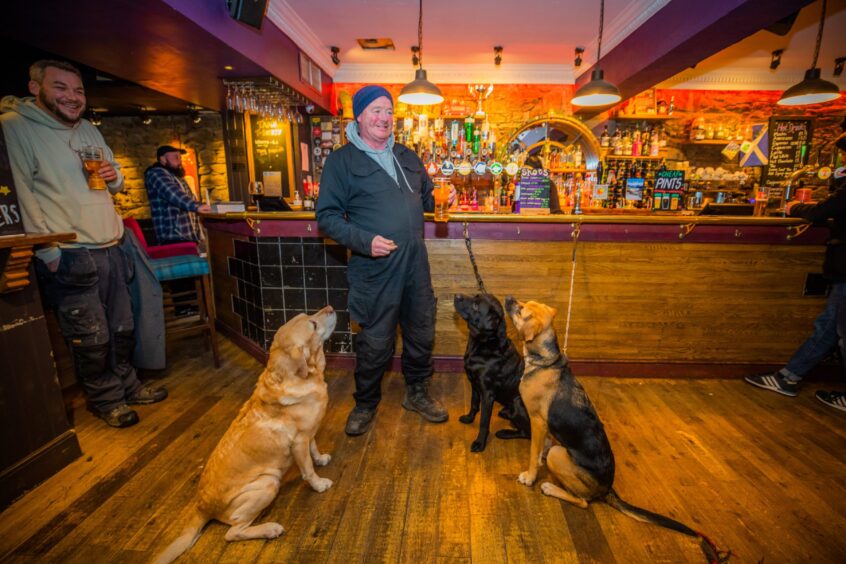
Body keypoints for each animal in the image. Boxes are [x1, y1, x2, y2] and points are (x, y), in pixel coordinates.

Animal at [458, 294, 528, 452]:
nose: (457, 295)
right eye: (474, 296)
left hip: (518, 404)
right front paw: (469, 418)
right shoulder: (474, 384)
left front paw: (480, 443)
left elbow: (484, 421)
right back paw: (505, 413)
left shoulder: (487, 393)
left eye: (476, 306)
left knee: (527, 432)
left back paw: (505, 433)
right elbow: (473, 404)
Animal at [506, 298, 732, 560]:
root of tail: (607, 489)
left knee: (584, 501)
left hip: (560, 457)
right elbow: (542, 446)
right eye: (525, 303)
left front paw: (530, 476)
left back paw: (551, 487)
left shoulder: (538, 421)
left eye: (522, 310)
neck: (545, 360)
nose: (509, 299)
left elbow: (534, 454)